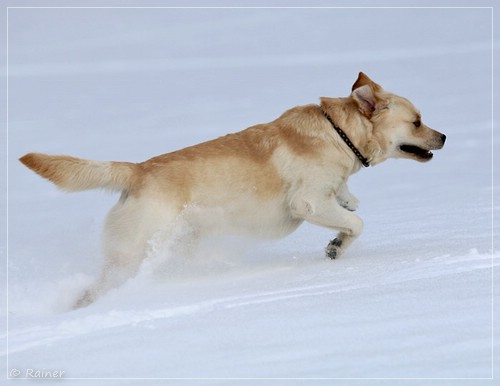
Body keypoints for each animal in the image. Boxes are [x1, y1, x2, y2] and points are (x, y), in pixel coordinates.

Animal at [18, 72, 446, 308]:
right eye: (417, 121)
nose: (443, 136)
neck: (338, 134)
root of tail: (137, 171)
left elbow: (348, 202)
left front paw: (347, 205)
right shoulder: (307, 203)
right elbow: (356, 224)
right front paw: (336, 248)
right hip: (133, 252)